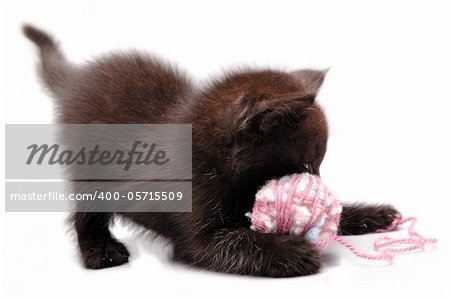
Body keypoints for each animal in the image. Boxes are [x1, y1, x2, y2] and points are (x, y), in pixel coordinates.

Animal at [22, 24, 400, 278]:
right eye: (308, 165)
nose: (320, 189)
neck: (212, 160)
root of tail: (75, 79)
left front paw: (369, 214)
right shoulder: (196, 236)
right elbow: (232, 243)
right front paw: (289, 250)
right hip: (88, 168)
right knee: (84, 212)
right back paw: (99, 250)